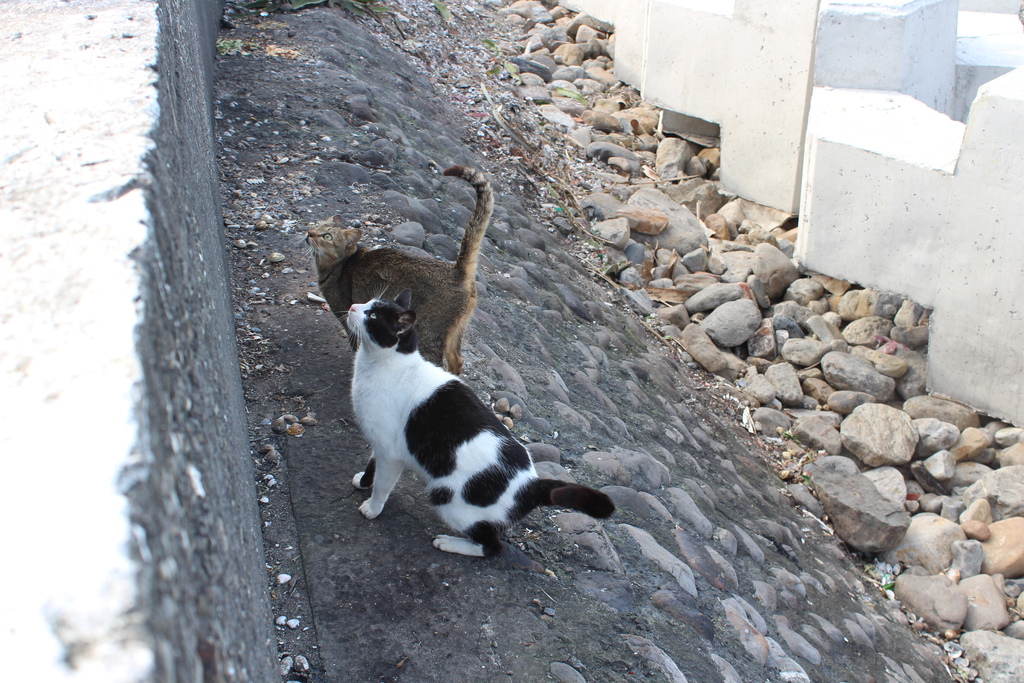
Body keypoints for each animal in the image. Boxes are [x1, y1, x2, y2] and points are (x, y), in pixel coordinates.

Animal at [305, 165, 493, 376]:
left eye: (327, 236)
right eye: (317, 225)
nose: (309, 233)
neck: (339, 265)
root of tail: (457, 271)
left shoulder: (346, 316)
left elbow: (357, 347)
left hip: (428, 333)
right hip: (456, 332)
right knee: (457, 362)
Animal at [344, 290, 614, 565]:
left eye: (372, 315)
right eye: (368, 303)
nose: (353, 306)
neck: (383, 365)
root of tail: (532, 483)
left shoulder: (391, 453)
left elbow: (382, 485)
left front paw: (372, 508)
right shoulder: (380, 442)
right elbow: (372, 466)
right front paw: (363, 481)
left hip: (449, 500)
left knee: (493, 546)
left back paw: (449, 543)